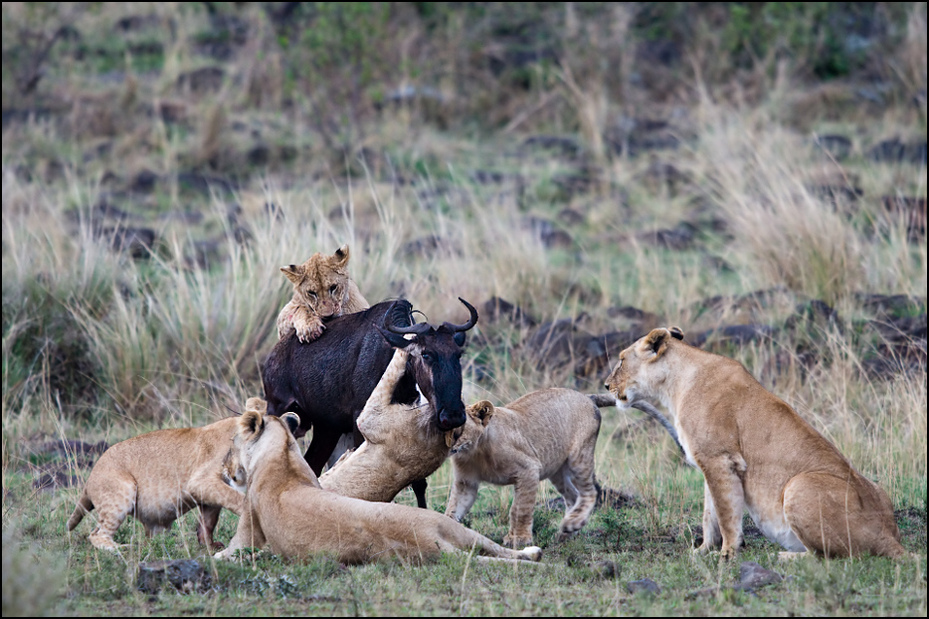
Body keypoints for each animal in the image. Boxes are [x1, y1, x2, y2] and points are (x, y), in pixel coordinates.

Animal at [64, 410, 254, 556]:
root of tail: (89, 479)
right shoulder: (200, 481)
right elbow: (237, 499)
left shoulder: (210, 492)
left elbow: (208, 522)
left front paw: (210, 546)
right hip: (122, 491)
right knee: (96, 534)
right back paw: (122, 548)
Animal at [213, 402, 540, 568]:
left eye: (231, 444)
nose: (224, 469)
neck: (282, 452)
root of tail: (430, 543)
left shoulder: (247, 524)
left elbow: (231, 549)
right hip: (455, 528)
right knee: (497, 549)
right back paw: (532, 554)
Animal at [446, 390, 604, 548]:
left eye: (458, 431)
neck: (474, 451)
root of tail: (587, 396)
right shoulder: (466, 482)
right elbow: (454, 506)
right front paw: (447, 528)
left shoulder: (529, 469)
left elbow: (520, 509)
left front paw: (520, 538)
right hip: (557, 471)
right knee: (573, 495)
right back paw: (566, 533)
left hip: (579, 458)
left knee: (590, 492)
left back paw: (573, 523)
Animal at [604, 326, 904, 560]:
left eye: (621, 360)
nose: (606, 386)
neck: (674, 384)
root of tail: (888, 535)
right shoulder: (709, 462)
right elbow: (709, 514)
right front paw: (702, 551)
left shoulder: (721, 459)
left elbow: (726, 513)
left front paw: (727, 553)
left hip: (798, 485)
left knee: (831, 557)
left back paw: (784, 556)